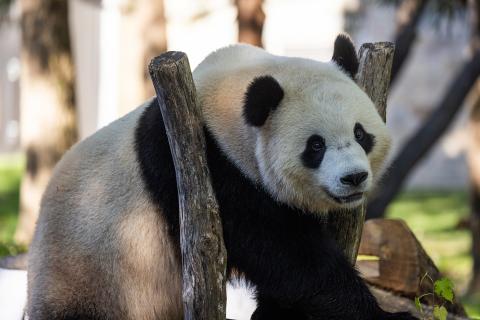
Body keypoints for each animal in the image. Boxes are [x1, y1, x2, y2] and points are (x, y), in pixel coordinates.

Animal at [27, 35, 416, 320]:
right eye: (315, 145)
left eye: (361, 134)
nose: (354, 177)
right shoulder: (206, 167)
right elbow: (287, 254)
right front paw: (386, 316)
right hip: (90, 273)